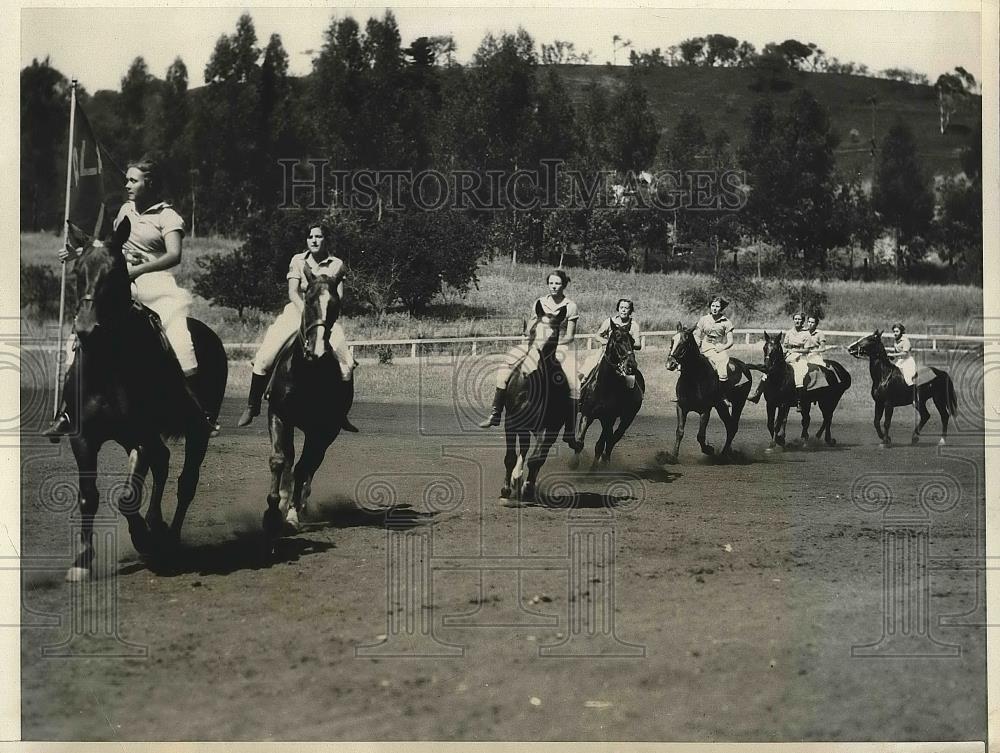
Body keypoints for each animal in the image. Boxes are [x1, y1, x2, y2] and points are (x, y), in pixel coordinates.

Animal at [60, 217, 229, 580]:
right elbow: (89, 496)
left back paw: (169, 538)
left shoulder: (140, 434)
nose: (86, 329)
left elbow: (127, 497)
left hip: (196, 432)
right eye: (78, 271)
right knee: (163, 462)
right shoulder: (84, 438)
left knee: (186, 482)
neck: (107, 366)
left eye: (115, 272)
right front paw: (82, 561)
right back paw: (157, 526)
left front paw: (145, 539)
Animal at [262, 264, 356, 536]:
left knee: (310, 465)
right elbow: (279, 460)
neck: (306, 373)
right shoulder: (278, 414)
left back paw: (300, 502)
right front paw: (273, 509)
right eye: (309, 300)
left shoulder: (321, 429)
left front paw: (292, 515)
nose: (317, 351)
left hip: (327, 433)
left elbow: (303, 468)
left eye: (335, 304)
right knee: (291, 459)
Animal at [498, 302, 572, 502]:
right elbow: (510, 457)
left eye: (553, 335)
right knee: (522, 450)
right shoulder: (512, 421)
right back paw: (515, 479)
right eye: (532, 331)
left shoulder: (551, 428)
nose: (528, 369)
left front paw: (528, 488)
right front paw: (506, 490)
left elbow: (537, 459)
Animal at [576, 320, 644, 468]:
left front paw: (594, 468)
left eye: (632, 341)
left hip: (627, 418)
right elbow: (579, 441)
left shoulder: (609, 418)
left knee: (614, 438)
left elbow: (601, 445)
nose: (631, 365)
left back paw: (605, 461)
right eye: (618, 340)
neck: (605, 386)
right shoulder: (587, 414)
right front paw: (574, 463)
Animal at [664, 326, 752, 462]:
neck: (694, 377)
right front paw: (673, 456)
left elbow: (700, 435)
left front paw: (709, 450)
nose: (670, 363)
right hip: (721, 407)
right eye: (672, 340)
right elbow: (679, 431)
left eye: (685, 342)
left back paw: (723, 455)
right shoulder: (681, 407)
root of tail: (744, 365)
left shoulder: (705, 410)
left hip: (739, 403)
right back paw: (725, 453)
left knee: (733, 427)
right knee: (729, 426)